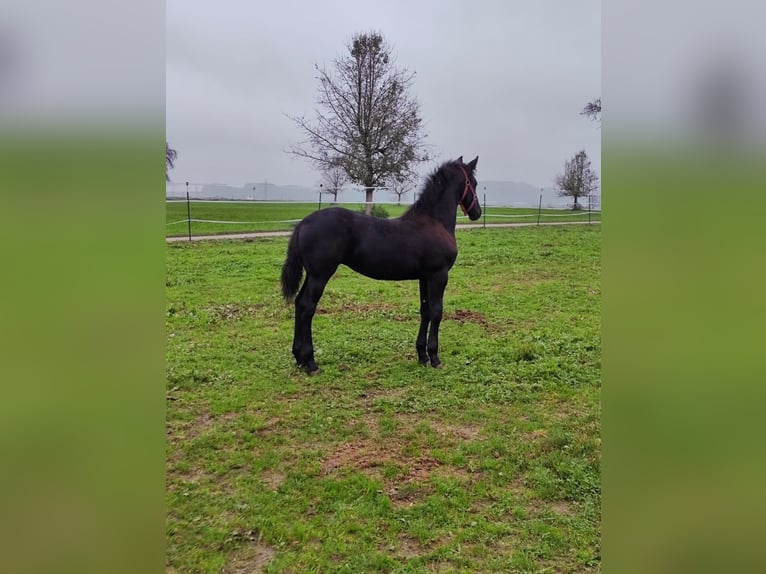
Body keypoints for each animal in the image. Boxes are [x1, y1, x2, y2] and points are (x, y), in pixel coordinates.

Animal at [282, 155, 484, 376]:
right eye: (473, 183)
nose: (477, 213)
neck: (434, 222)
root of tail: (303, 223)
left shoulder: (424, 277)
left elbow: (425, 311)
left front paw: (422, 356)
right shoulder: (438, 276)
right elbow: (437, 312)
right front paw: (435, 358)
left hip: (312, 274)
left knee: (299, 303)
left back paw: (299, 358)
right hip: (320, 275)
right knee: (307, 306)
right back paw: (310, 363)